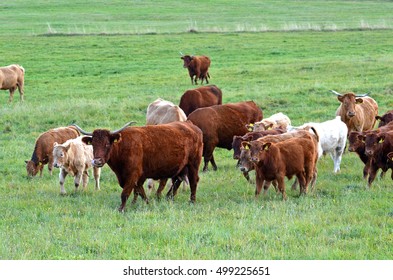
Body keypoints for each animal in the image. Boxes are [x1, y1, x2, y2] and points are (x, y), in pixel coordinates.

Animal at [74, 121, 202, 212]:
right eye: (93, 145)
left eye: (107, 144)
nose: (97, 161)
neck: (123, 147)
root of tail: (191, 125)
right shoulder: (133, 176)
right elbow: (139, 190)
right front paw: (146, 203)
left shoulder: (133, 174)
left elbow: (126, 193)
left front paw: (121, 209)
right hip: (181, 167)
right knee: (177, 181)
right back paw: (169, 198)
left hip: (193, 164)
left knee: (193, 181)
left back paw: (192, 201)